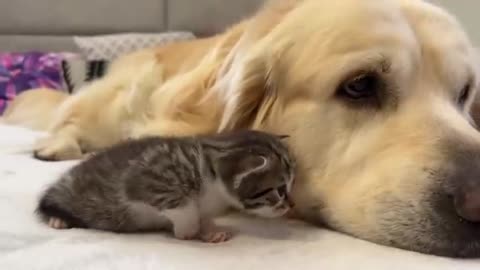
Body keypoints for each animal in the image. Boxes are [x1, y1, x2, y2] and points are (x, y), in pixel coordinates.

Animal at [36, 130, 296, 243]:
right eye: (279, 190)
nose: (291, 206)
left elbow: (204, 216)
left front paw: (209, 231)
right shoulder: (149, 176)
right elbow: (182, 206)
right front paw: (188, 230)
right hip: (69, 191)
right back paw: (58, 219)